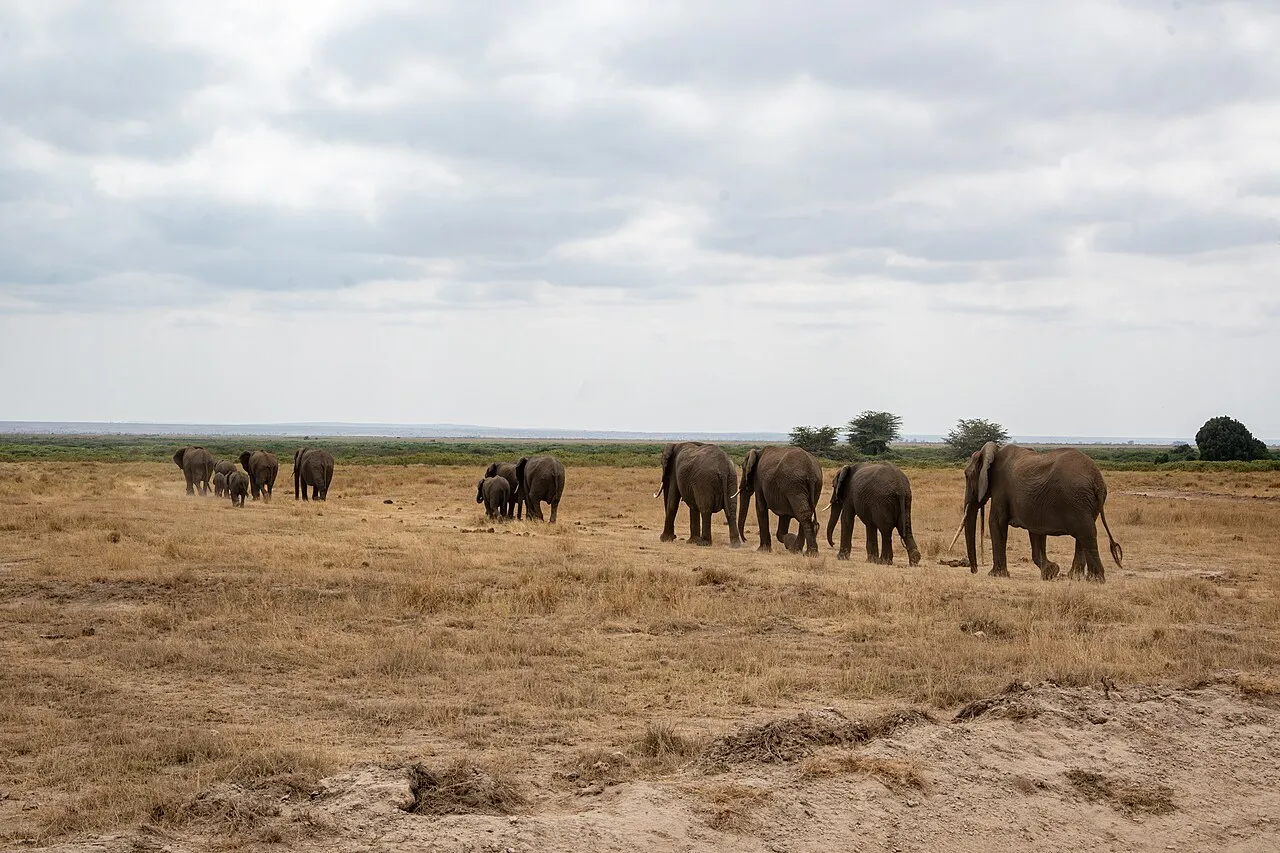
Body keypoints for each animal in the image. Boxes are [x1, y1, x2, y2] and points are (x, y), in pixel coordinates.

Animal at [952, 442, 1124, 582]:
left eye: (967, 475)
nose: (974, 570)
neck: (993, 451)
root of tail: (1097, 480)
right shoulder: (1035, 505)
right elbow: (1036, 530)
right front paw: (1051, 572)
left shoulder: (1001, 488)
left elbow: (996, 522)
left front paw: (995, 575)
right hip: (1085, 502)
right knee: (1082, 535)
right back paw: (1074, 577)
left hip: (1077, 498)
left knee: (1086, 533)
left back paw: (1095, 580)